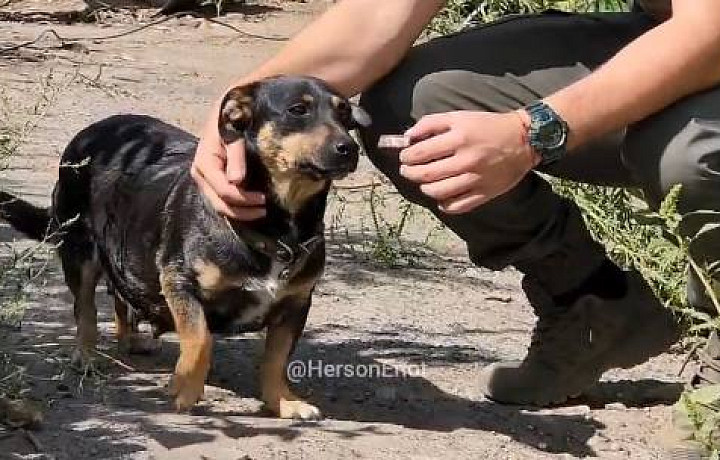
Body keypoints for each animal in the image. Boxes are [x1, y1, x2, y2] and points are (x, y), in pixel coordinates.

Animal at [0, 76, 372, 420]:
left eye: (345, 115)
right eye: (298, 110)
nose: (349, 149)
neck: (279, 224)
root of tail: (92, 131)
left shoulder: (295, 304)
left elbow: (277, 359)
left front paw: (283, 401)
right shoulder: (179, 282)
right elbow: (201, 337)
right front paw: (185, 389)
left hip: (125, 246)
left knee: (121, 293)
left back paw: (129, 338)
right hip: (80, 251)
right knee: (85, 308)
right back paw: (87, 355)